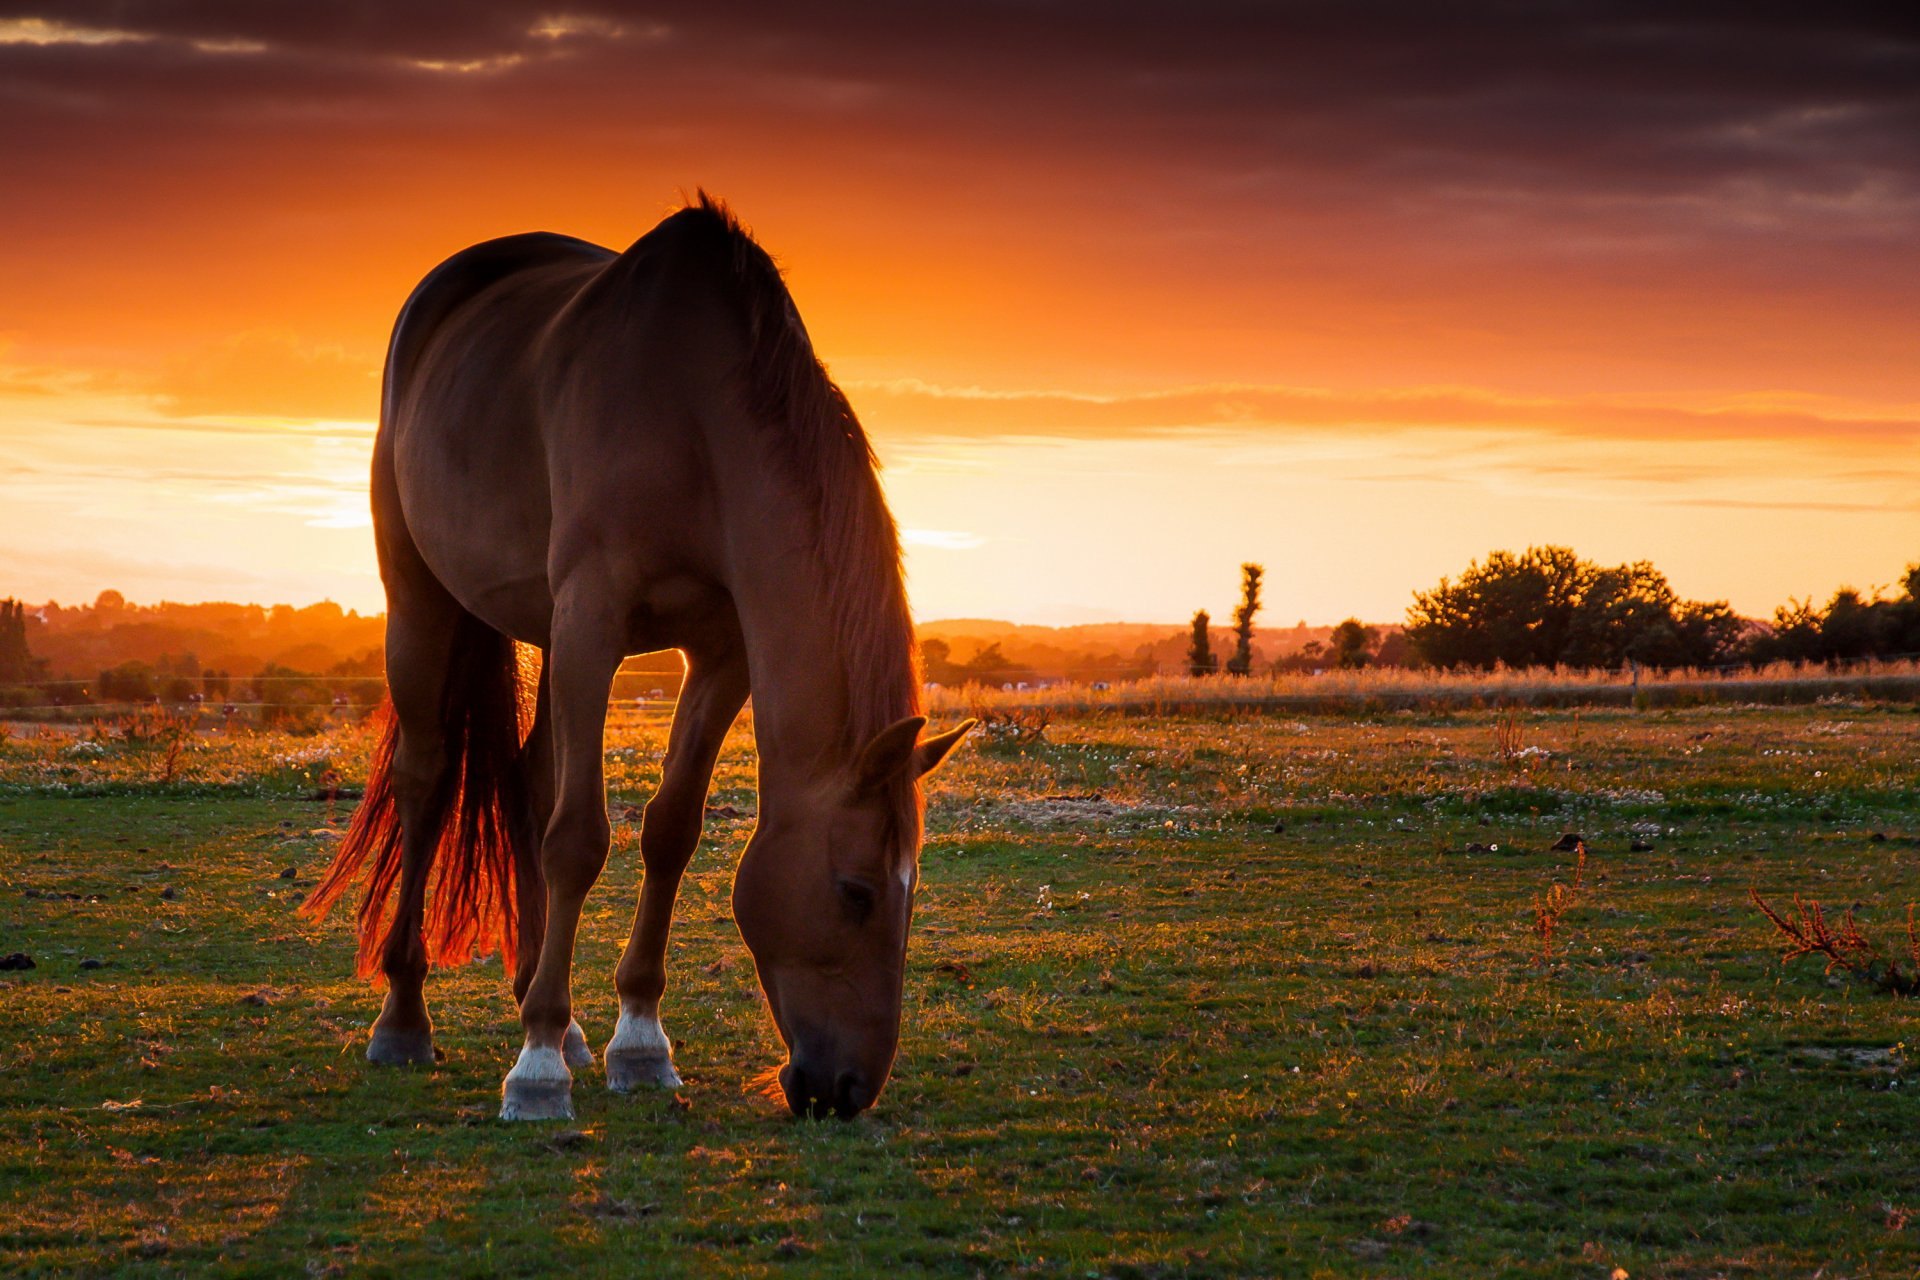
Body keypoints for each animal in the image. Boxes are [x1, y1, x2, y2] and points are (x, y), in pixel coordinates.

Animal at [309, 192, 983, 1120]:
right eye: (858, 892)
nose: (848, 1089)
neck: (695, 418)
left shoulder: (721, 652)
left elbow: (670, 829)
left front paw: (636, 1042)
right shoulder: (594, 618)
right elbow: (578, 839)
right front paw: (536, 1070)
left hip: (546, 633)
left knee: (528, 777)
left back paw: (553, 1014)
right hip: (423, 599)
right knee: (426, 776)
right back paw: (408, 1019)